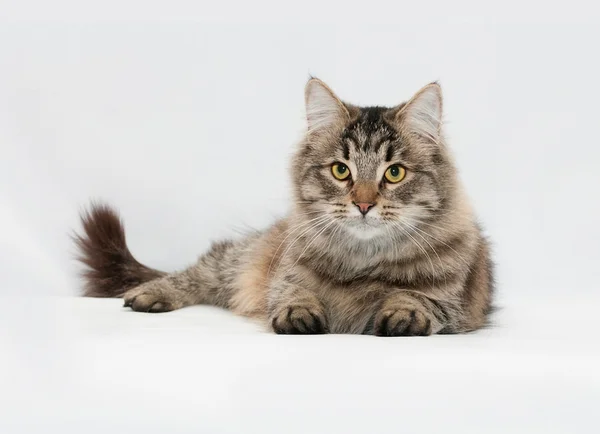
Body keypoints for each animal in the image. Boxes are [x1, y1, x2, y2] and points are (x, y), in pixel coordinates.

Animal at [75, 78, 494, 336]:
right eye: (341, 170)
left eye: (394, 173)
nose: (363, 204)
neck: (363, 261)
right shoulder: (284, 275)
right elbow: (292, 293)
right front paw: (300, 314)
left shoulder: (454, 301)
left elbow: (418, 299)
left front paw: (403, 312)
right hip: (235, 260)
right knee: (199, 273)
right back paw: (150, 293)